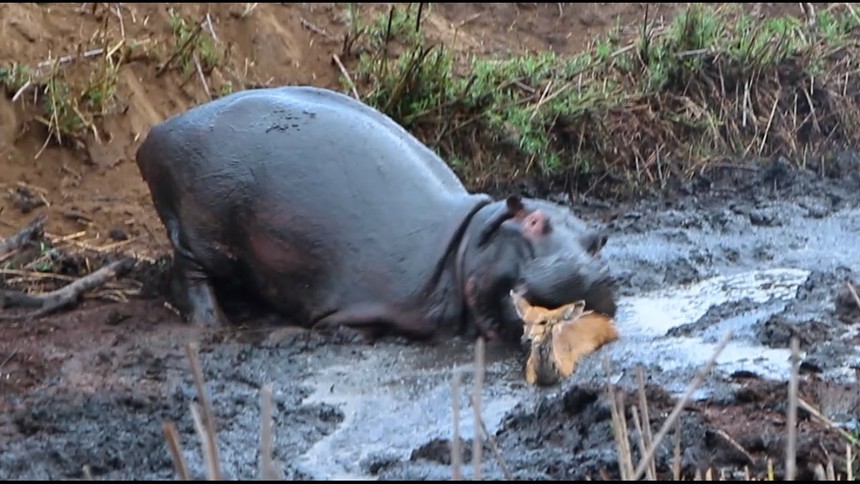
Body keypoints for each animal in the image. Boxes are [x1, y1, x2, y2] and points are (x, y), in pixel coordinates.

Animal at [134, 88, 616, 344]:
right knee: (190, 270)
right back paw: (214, 323)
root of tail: (158, 133)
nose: (593, 273)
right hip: (204, 226)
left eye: (598, 240)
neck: (466, 243)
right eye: (533, 222)